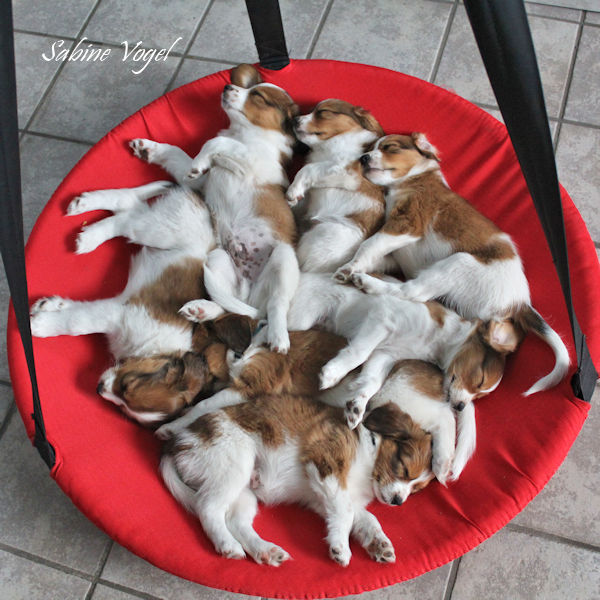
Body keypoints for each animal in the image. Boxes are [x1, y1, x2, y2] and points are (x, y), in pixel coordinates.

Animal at [29, 182, 215, 425]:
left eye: (124, 407)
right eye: (128, 384)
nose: (98, 388)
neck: (151, 348)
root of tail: (199, 199)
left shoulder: (114, 306)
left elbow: (78, 310)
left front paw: (49, 307)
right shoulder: (119, 313)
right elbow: (77, 323)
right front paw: (39, 326)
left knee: (129, 204)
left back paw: (85, 208)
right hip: (159, 230)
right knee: (126, 217)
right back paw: (90, 235)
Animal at [160, 395, 432, 566]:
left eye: (417, 488)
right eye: (404, 468)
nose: (398, 501)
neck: (370, 450)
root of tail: (176, 445)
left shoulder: (324, 497)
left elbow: (366, 518)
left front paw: (379, 543)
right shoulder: (326, 463)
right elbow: (346, 514)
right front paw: (341, 548)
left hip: (243, 492)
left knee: (236, 521)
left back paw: (266, 551)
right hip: (234, 463)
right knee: (208, 508)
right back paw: (227, 544)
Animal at [285, 99, 386, 272]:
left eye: (323, 112)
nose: (294, 120)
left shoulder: (347, 172)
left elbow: (307, 169)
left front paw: (293, 191)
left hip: (322, 236)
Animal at [330, 133, 569, 396]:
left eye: (390, 147)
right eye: (369, 148)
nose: (363, 158)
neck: (412, 181)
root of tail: (519, 303)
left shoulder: (407, 224)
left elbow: (369, 244)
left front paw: (350, 268)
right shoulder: (395, 248)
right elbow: (375, 253)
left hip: (458, 263)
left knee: (413, 292)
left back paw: (367, 282)